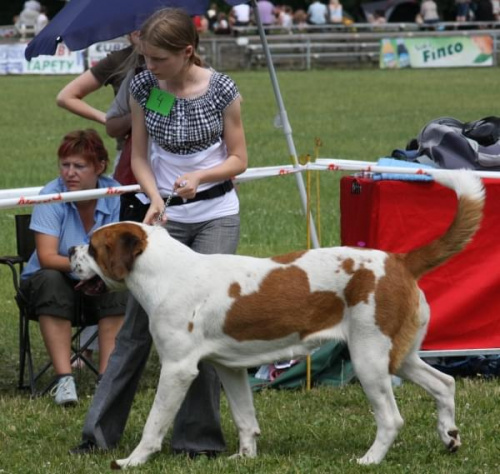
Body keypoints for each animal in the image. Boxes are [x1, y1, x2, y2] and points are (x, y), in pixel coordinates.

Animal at [68, 169, 482, 466]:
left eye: (92, 246)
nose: (70, 250)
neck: (165, 272)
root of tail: (399, 260)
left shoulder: (178, 368)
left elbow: (154, 423)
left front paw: (132, 460)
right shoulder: (229, 367)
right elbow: (244, 418)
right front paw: (244, 458)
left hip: (369, 358)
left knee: (392, 418)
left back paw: (369, 459)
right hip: (399, 354)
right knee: (443, 383)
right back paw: (449, 437)